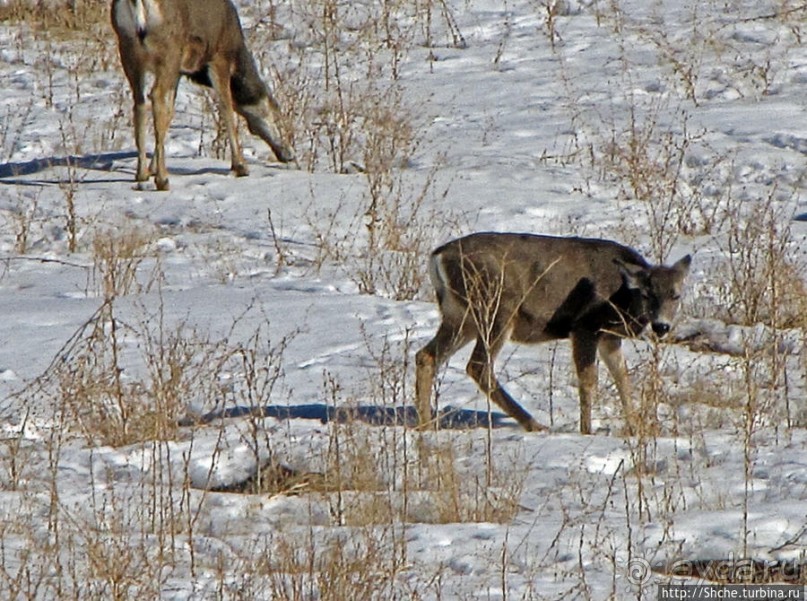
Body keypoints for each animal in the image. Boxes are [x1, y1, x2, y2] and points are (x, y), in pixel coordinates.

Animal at [109, 0, 294, 190]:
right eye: (277, 116)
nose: (289, 154)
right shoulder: (219, 57)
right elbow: (226, 107)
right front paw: (240, 166)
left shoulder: (179, 72)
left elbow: (170, 113)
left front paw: (152, 168)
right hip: (168, 51)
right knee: (157, 97)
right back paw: (162, 180)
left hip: (129, 50)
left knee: (139, 103)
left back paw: (142, 174)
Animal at [416, 232, 696, 434]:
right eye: (647, 294)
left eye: (676, 295)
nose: (661, 326)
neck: (623, 297)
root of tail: (437, 256)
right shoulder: (585, 326)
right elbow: (588, 379)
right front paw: (587, 431)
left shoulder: (609, 337)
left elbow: (622, 377)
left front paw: (637, 427)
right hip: (496, 308)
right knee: (478, 365)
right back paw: (534, 423)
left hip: (459, 317)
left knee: (426, 356)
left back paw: (426, 424)